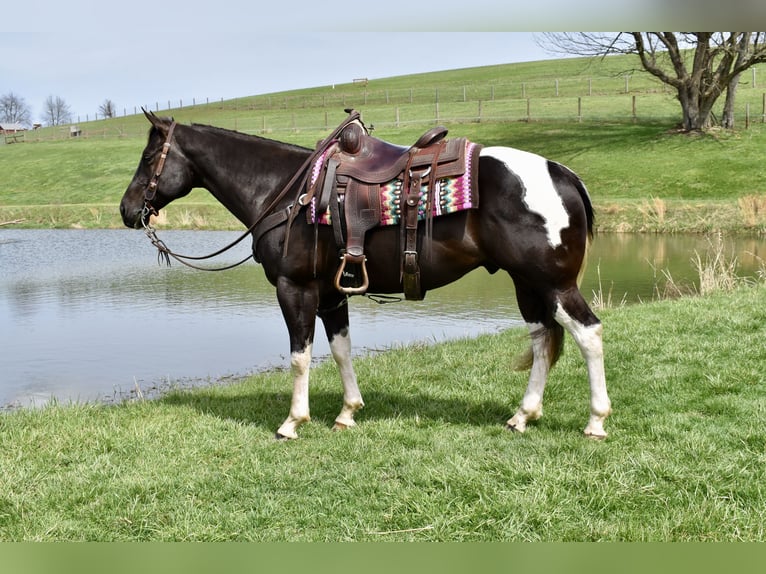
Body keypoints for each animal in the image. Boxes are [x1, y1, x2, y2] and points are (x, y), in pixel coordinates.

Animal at [120, 110, 611, 440]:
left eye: (148, 156)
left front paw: (293, 422)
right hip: (528, 285)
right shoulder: (331, 294)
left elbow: (299, 356)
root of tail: (562, 173)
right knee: (543, 339)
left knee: (587, 333)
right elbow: (341, 351)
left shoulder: (295, 289)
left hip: (554, 284)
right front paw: (348, 412)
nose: (126, 210)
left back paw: (595, 421)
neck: (285, 192)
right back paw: (522, 416)